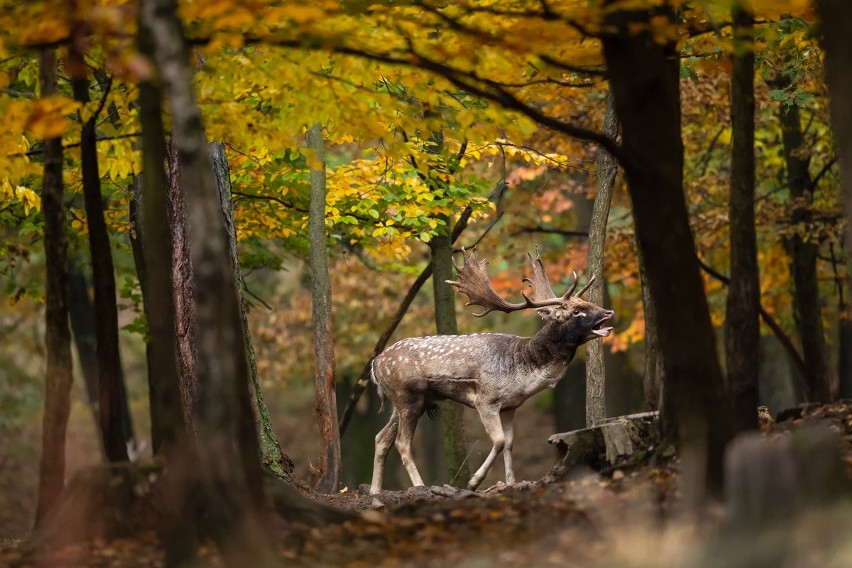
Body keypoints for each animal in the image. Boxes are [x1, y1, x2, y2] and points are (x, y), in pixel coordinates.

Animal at [368, 248, 612, 492]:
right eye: (577, 311)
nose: (608, 312)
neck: (522, 373)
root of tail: (375, 364)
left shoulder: (510, 406)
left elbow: (510, 443)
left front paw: (511, 482)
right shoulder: (485, 400)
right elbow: (499, 440)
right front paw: (473, 482)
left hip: (405, 402)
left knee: (381, 438)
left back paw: (375, 490)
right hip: (407, 397)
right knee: (401, 442)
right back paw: (419, 486)